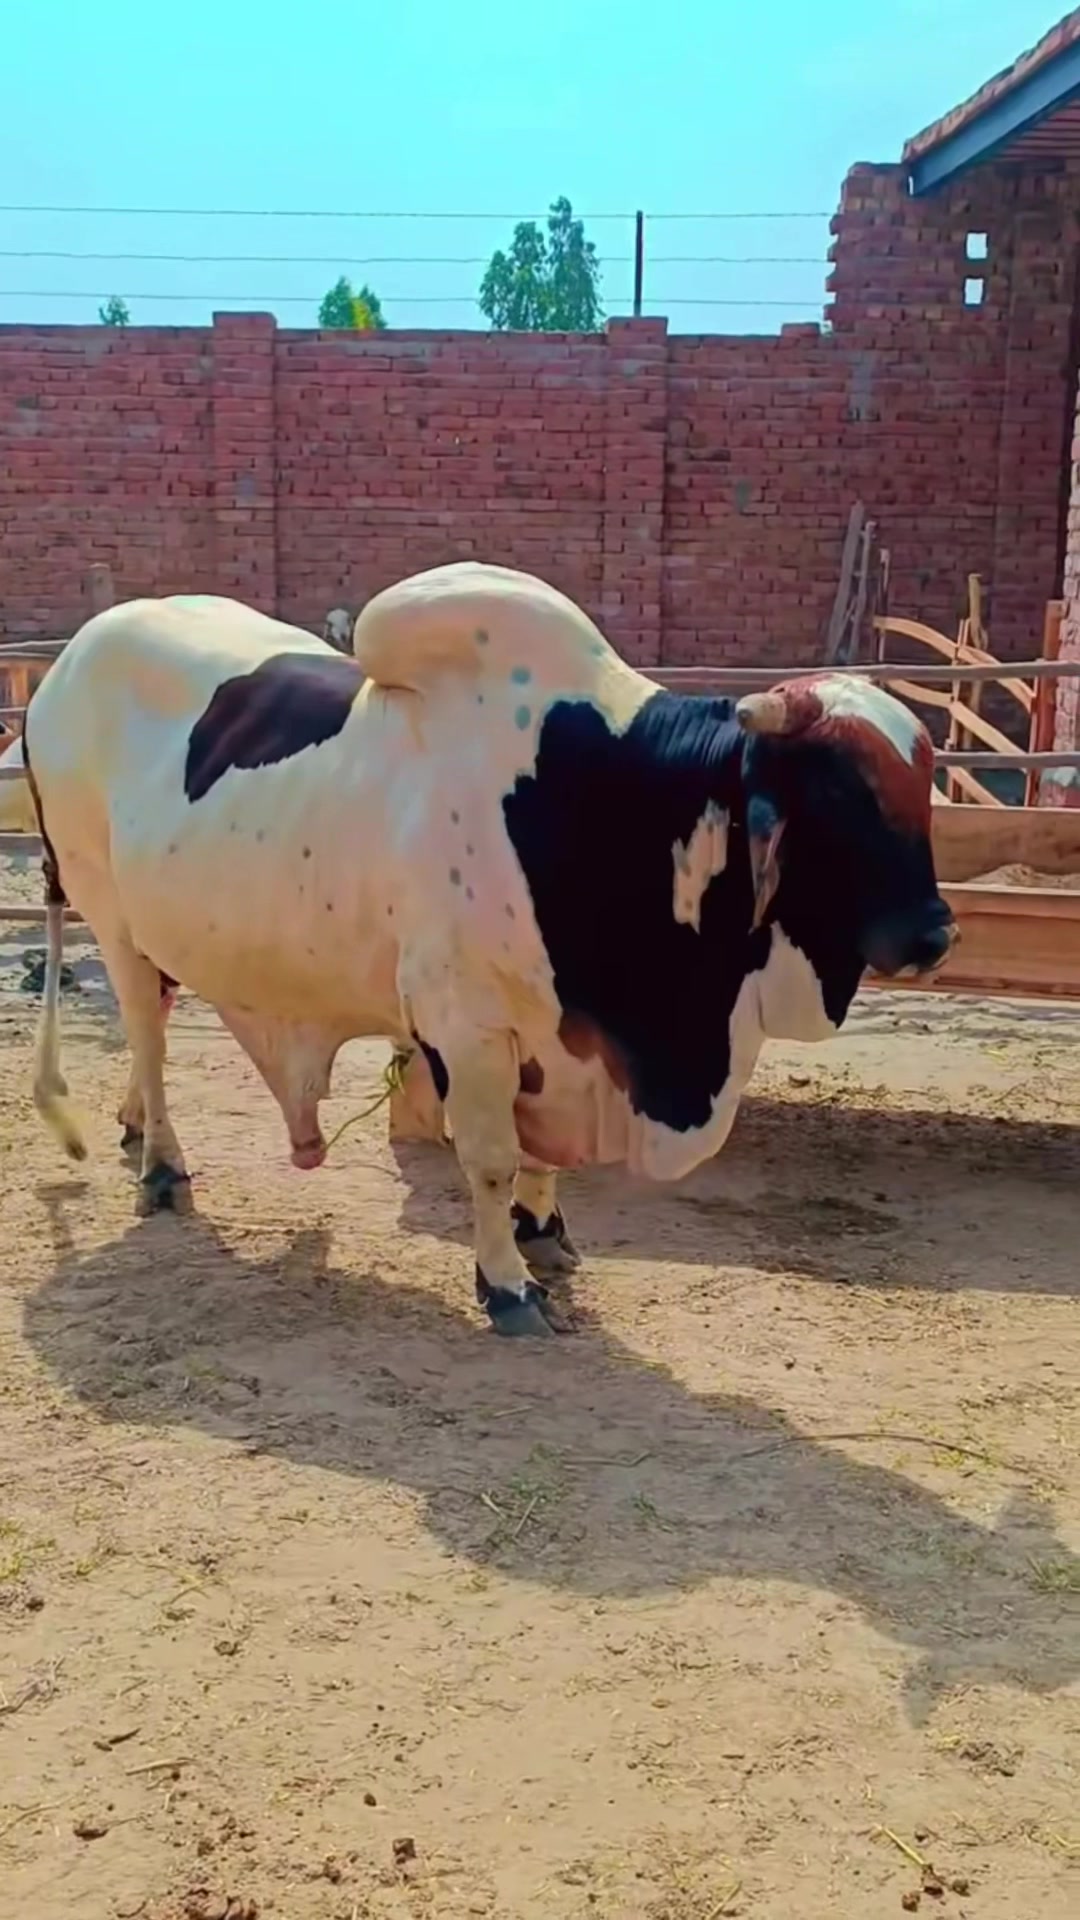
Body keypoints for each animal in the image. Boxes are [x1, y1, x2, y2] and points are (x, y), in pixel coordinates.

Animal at [23, 565, 955, 1337]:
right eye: (838, 789)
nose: (935, 934)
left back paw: (132, 1128)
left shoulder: (557, 1039)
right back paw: (161, 1167)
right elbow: (493, 1158)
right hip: (111, 917)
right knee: (148, 1037)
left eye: (923, 784)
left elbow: (539, 1162)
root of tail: (65, 666)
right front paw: (506, 1285)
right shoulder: (465, 1028)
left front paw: (542, 1232)